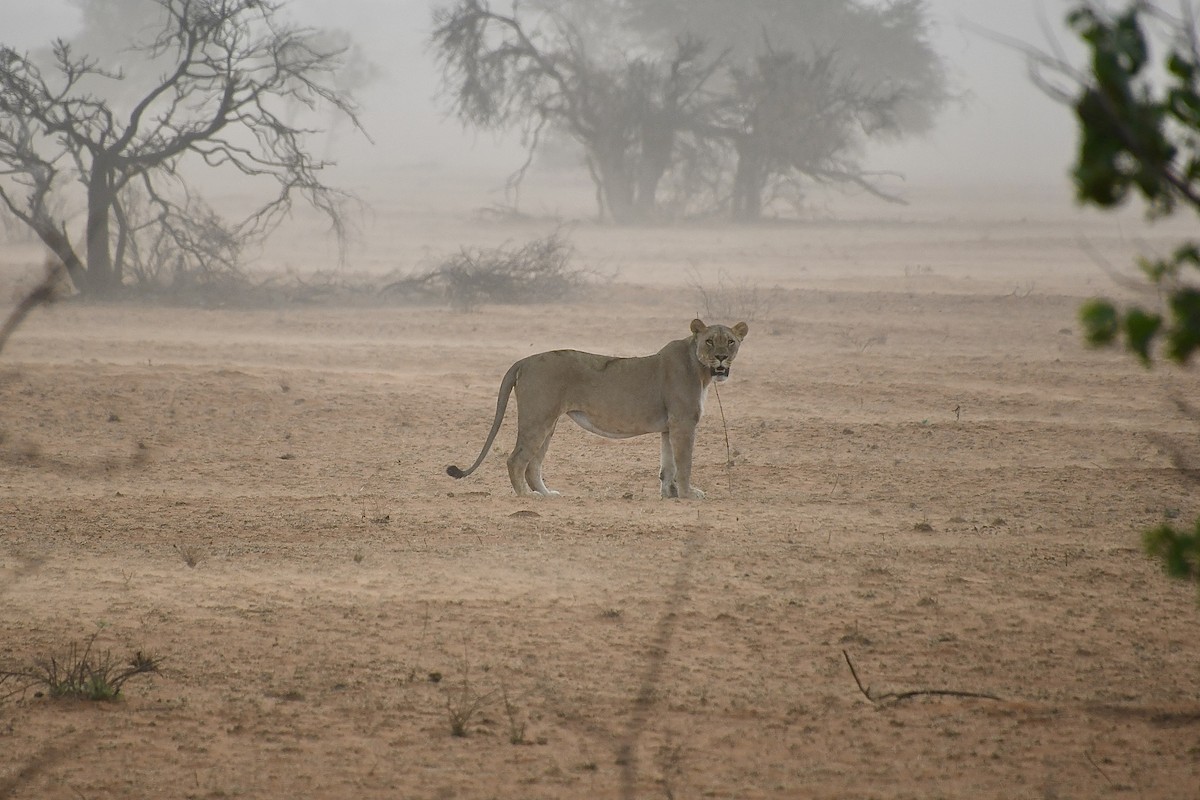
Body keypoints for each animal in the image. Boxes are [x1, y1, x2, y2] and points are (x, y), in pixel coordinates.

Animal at [446, 318, 748, 499]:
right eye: (709, 340)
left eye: (730, 341)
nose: (721, 357)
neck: (701, 369)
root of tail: (524, 360)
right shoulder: (684, 422)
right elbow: (684, 463)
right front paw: (688, 495)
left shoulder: (669, 426)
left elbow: (669, 465)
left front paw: (669, 495)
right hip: (538, 419)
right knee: (516, 460)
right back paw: (527, 497)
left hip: (548, 423)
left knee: (533, 464)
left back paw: (547, 494)